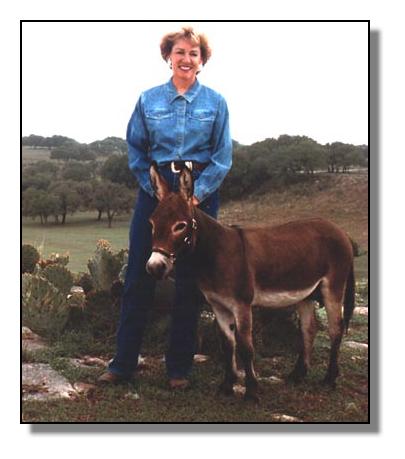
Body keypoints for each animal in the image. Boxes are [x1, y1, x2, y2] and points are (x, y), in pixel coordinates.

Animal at [146, 163, 355, 402]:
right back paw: (297, 375)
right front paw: (227, 386)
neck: (216, 253)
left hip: (333, 287)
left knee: (335, 329)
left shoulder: (242, 305)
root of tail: (340, 230)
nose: (154, 267)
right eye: (151, 223)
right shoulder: (219, 306)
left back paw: (330, 379)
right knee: (309, 329)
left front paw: (252, 391)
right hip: (306, 292)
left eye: (180, 226)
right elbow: (227, 345)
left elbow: (246, 346)